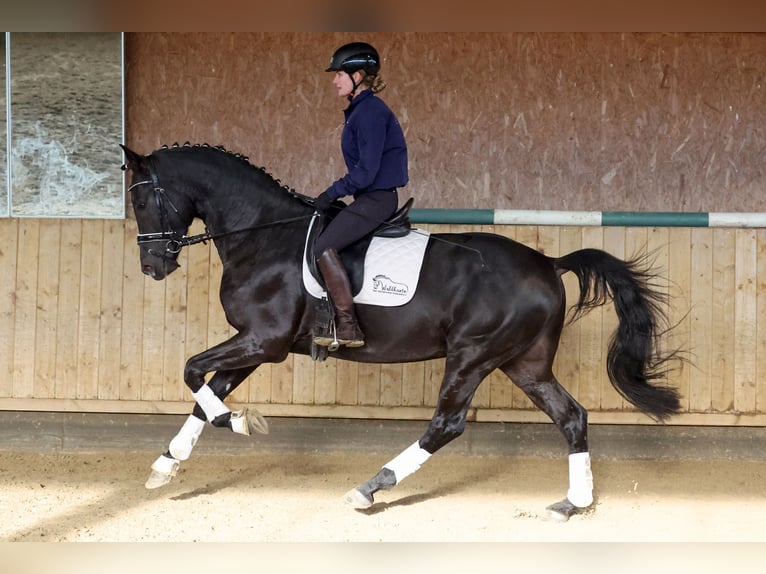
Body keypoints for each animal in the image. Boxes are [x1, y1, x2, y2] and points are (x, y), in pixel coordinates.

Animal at [121, 142, 682, 521]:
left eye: (143, 202)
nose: (152, 266)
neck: (262, 235)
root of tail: (548, 262)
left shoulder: (265, 341)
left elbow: (192, 372)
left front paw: (239, 422)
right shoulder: (257, 345)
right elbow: (204, 392)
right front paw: (169, 463)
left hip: (473, 356)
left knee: (446, 426)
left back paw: (370, 487)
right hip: (524, 363)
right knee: (571, 417)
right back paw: (572, 503)